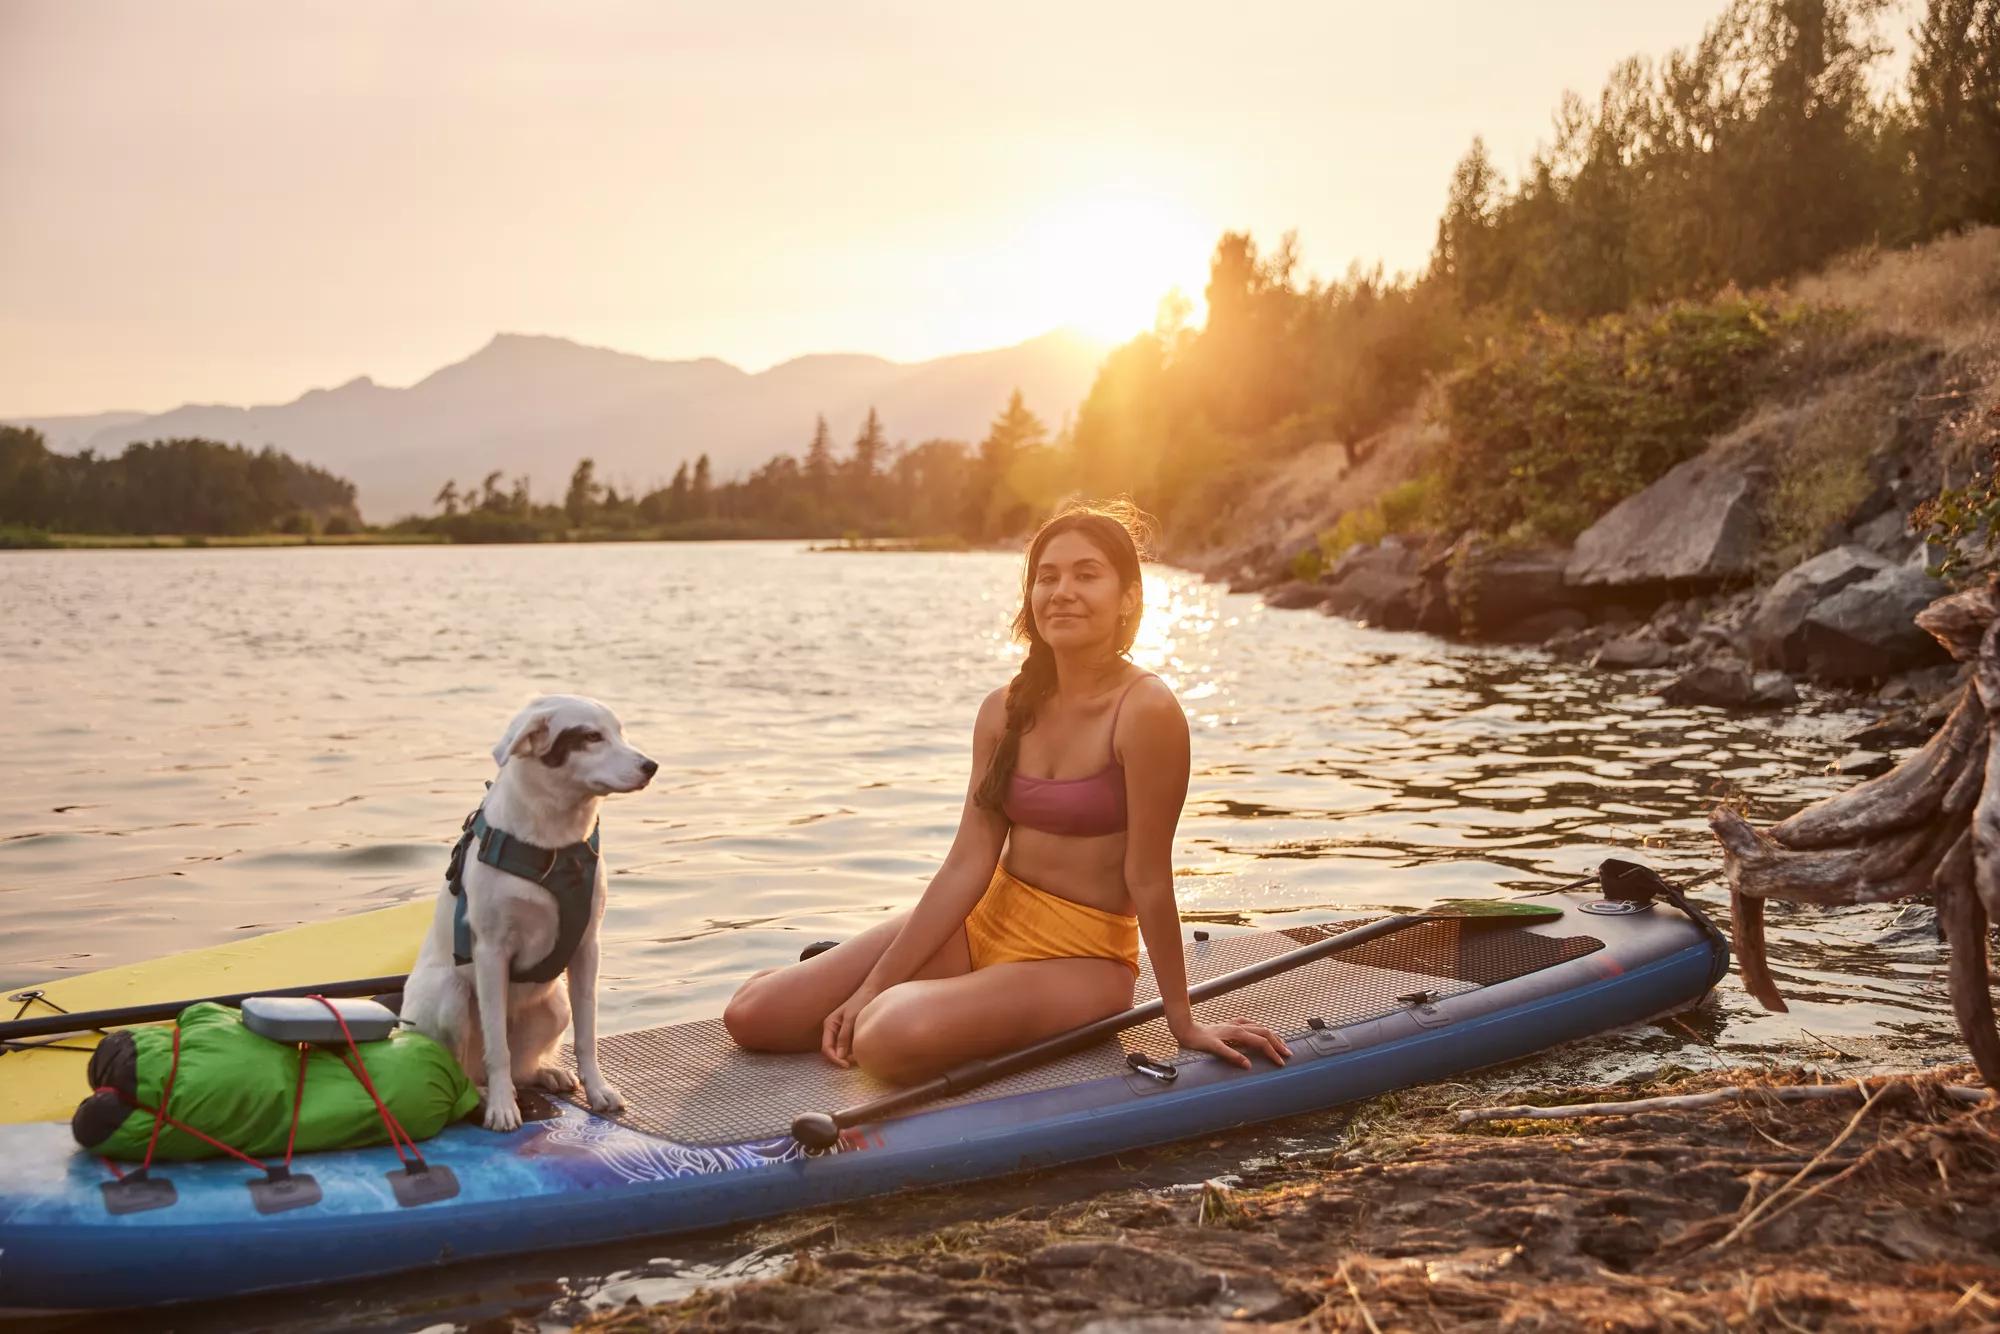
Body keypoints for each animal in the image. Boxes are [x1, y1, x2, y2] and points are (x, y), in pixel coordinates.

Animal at [400, 696, 656, 1136]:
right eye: (591, 736)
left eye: (620, 732)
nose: (651, 766)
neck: (555, 843)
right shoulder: (491, 952)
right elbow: (497, 1049)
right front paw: (503, 1108)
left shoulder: (587, 947)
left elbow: (587, 1034)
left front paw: (598, 1089)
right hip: (449, 996)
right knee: (466, 1071)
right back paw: (485, 1093)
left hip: (556, 1006)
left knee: (523, 1066)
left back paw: (547, 1072)